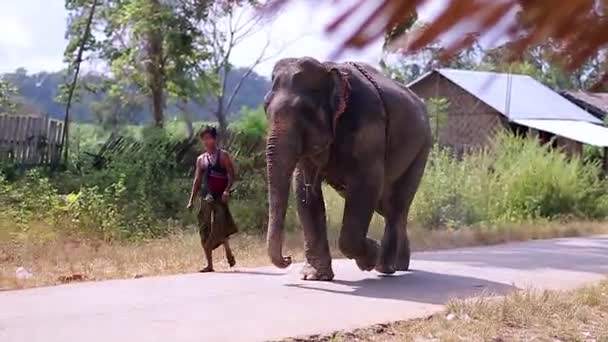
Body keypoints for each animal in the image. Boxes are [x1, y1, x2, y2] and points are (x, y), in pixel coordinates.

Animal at [264, 56, 430, 280]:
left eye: (305, 111)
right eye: (265, 108)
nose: (288, 258)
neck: (327, 69)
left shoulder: (368, 127)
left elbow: (366, 186)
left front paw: (370, 256)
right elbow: (304, 192)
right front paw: (315, 276)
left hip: (422, 148)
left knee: (396, 205)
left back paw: (385, 267)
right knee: (387, 207)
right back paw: (400, 265)